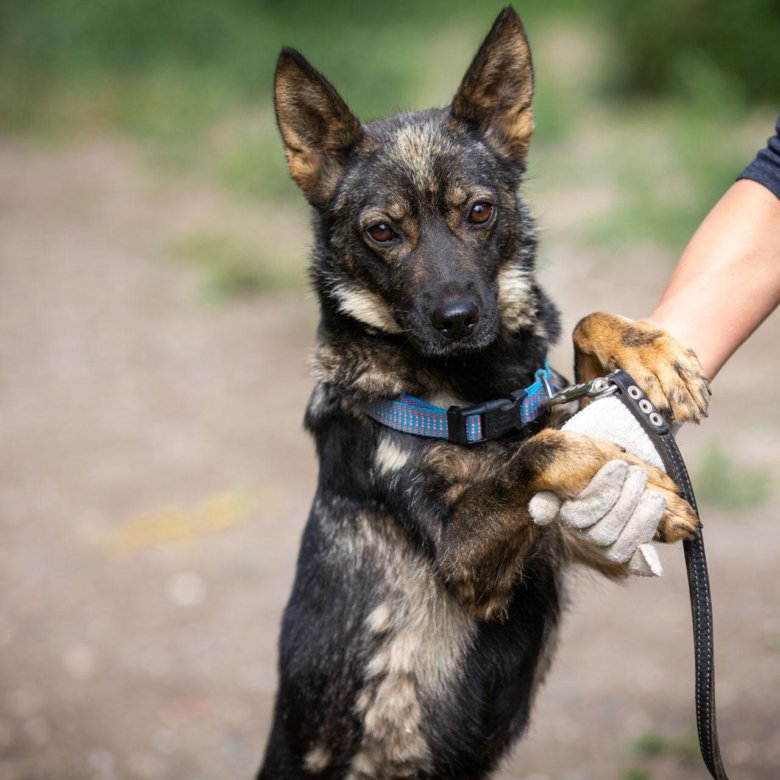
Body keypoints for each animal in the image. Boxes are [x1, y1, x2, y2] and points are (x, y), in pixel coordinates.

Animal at [258, 7, 708, 780]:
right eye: (382, 231)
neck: (476, 398)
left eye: (478, 212)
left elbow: (578, 342)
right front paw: (637, 472)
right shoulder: (466, 560)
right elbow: (539, 454)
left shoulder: (564, 529)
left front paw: (649, 352)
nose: (459, 318)